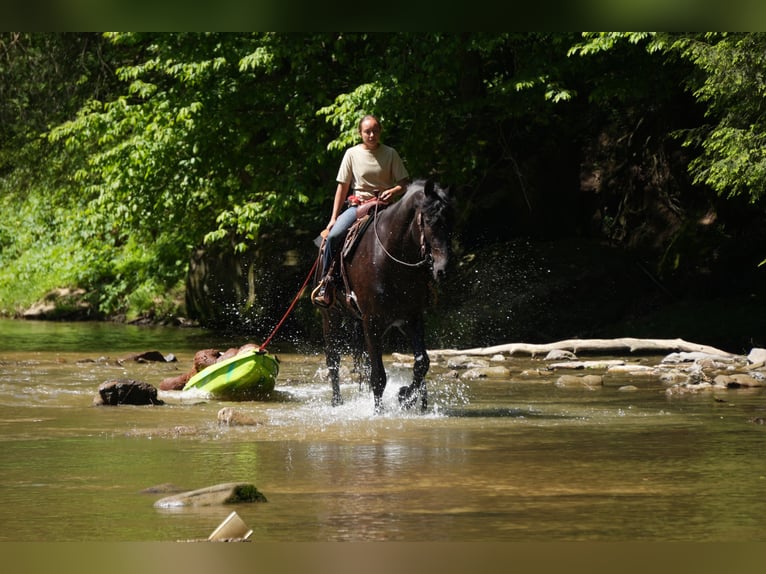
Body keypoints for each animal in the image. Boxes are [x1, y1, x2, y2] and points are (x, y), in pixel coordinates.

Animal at [317, 178, 452, 413]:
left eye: (450, 220)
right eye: (429, 220)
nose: (442, 269)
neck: (392, 258)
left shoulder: (411, 319)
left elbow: (422, 363)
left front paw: (405, 396)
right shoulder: (372, 321)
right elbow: (378, 376)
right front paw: (379, 412)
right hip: (331, 315)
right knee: (333, 359)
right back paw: (336, 402)